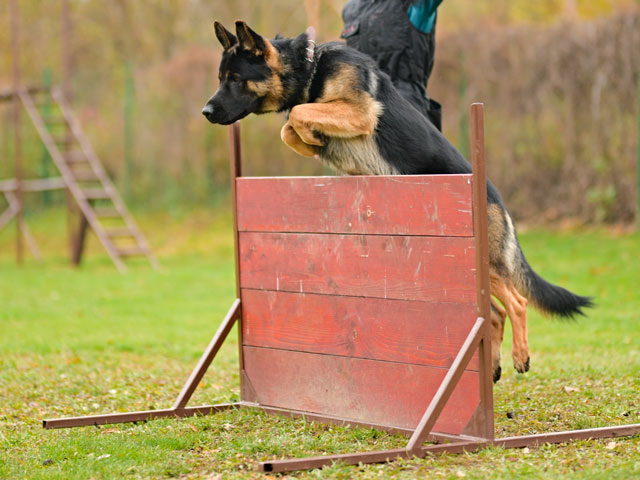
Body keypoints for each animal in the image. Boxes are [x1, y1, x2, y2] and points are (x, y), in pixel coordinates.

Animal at [202, 20, 592, 382]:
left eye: (235, 78)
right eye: (221, 77)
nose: (206, 112)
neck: (309, 69)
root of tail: (493, 196)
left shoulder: (359, 112)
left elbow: (298, 115)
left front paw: (311, 134)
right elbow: (290, 128)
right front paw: (312, 141)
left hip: (485, 263)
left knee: (518, 302)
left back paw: (520, 356)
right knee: (495, 314)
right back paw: (493, 366)